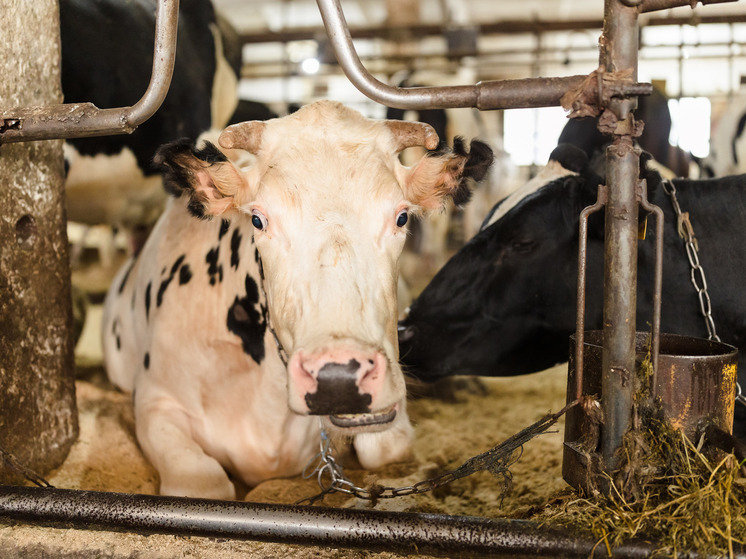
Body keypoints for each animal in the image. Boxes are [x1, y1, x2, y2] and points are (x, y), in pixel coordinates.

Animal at [100, 100, 494, 498]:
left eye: (401, 217)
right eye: (258, 220)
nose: (339, 378)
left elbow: (385, 447)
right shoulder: (156, 403)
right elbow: (206, 484)